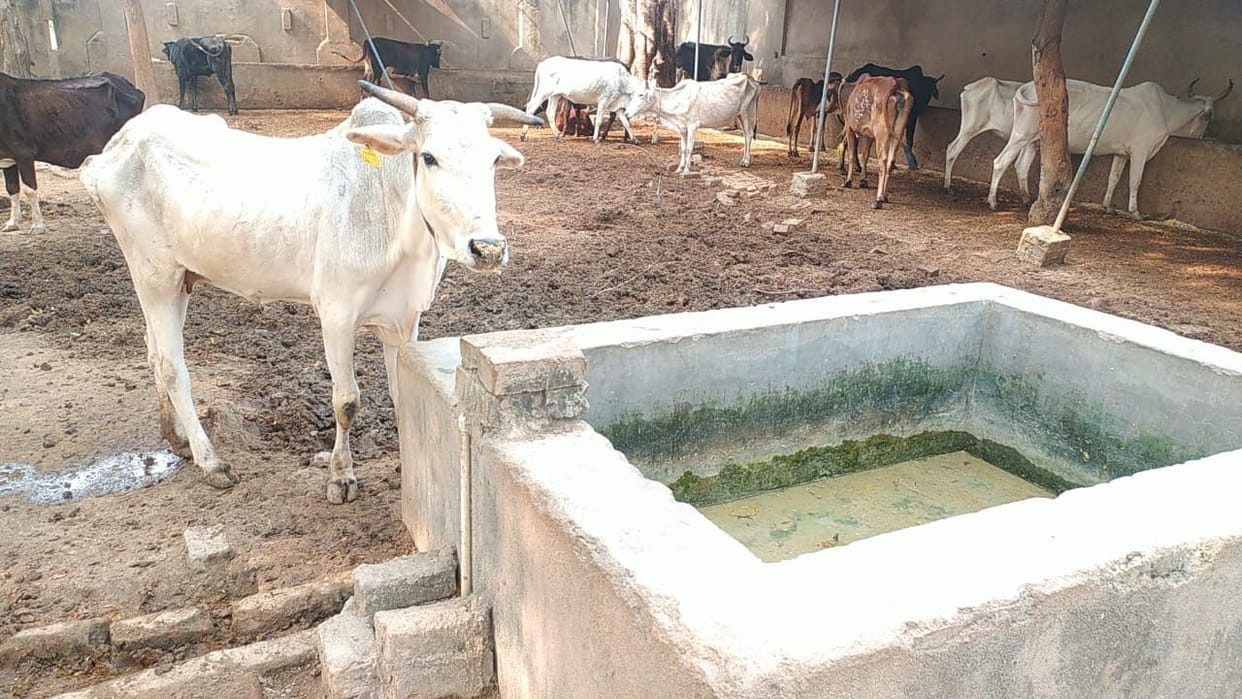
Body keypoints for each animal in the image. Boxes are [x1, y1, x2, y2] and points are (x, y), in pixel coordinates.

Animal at [1, 71, 144, 233]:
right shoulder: (8, 159)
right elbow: (12, 189)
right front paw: (12, 223)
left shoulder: (24, 153)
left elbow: (29, 190)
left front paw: (37, 225)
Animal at [78, 81, 543, 504]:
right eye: (429, 157)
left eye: (493, 161)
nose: (488, 248)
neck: (394, 215)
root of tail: (115, 146)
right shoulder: (336, 315)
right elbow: (347, 402)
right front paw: (341, 476)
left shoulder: (404, 320)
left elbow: (401, 392)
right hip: (153, 274)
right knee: (172, 365)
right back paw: (210, 461)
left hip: (178, 281)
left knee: (153, 351)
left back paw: (175, 436)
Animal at [624, 72, 763, 174]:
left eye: (641, 95)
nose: (626, 113)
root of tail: (750, 78)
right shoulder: (682, 128)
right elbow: (683, 148)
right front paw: (679, 168)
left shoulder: (692, 126)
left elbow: (689, 148)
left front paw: (686, 169)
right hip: (739, 115)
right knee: (745, 135)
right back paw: (743, 160)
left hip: (747, 112)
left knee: (749, 135)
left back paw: (746, 161)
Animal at [839, 74, 914, 209]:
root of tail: (896, 84)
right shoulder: (870, 135)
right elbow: (865, 156)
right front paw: (863, 181)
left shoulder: (849, 127)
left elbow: (852, 155)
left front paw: (848, 181)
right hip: (898, 130)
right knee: (891, 160)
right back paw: (885, 196)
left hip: (881, 132)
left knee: (883, 160)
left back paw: (878, 199)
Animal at [988, 78, 1233, 219]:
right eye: (1208, 117)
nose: (1203, 138)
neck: (1165, 111)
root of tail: (1027, 86)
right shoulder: (1140, 150)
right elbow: (1135, 181)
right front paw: (1135, 212)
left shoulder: (1121, 153)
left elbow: (1113, 178)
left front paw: (1107, 206)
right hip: (1021, 135)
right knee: (1001, 162)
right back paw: (992, 202)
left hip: (1034, 139)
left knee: (1021, 165)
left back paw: (1026, 199)